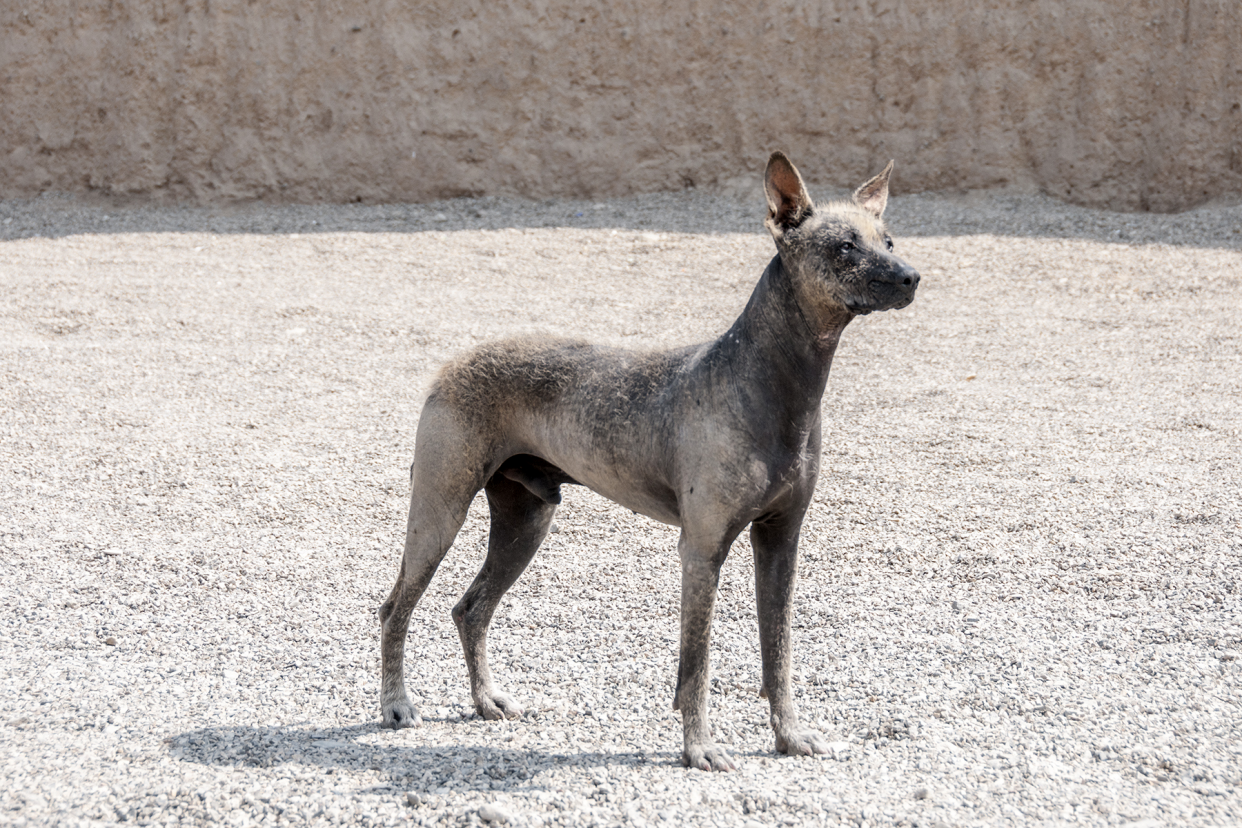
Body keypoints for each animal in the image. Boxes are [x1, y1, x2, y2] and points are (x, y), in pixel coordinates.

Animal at [377, 152, 924, 774]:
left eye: (888, 239)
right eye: (845, 248)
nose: (911, 276)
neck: (768, 381)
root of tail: (452, 363)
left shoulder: (781, 542)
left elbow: (778, 654)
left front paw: (790, 735)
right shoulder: (702, 551)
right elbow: (697, 666)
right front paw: (700, 748)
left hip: (525, 523)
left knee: (470, 610)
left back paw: (487, 699)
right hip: (439, 515)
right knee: (394, 609)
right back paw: (396, 704)